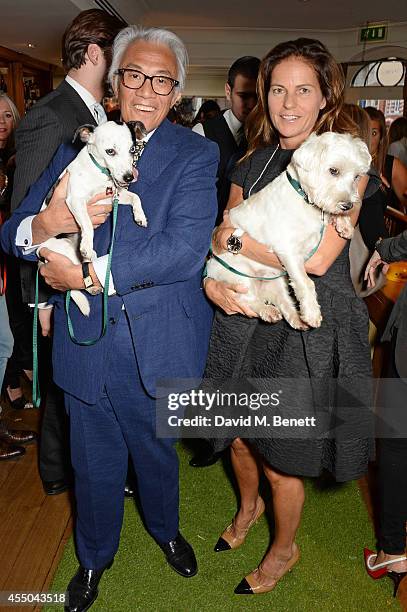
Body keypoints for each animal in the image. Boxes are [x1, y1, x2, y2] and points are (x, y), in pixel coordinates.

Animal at [207, 130, 372, 330]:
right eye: (333, 170)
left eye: (356, 177)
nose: (348, 206)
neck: (303, 198)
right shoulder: (289, 251)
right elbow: (306, 282)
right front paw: (312, 313)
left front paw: (344, 223)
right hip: (240, 278)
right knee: (248, 300)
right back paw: (268, 311)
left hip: (276, 281)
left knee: (284, 302)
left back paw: (296, 318)